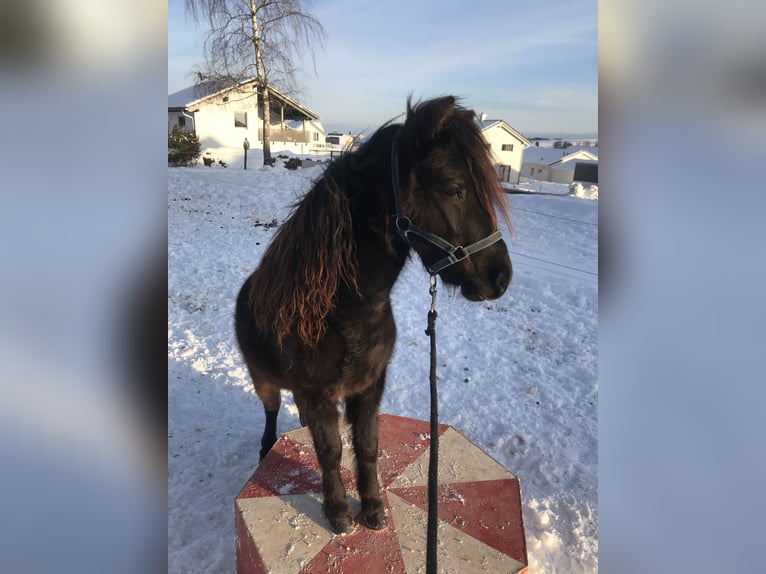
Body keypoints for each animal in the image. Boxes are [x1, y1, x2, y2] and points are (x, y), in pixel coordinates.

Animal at [234, 98, 510, 536]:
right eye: (454, 188)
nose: (501, 277)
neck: (343, 313)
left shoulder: (370, 386)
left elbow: (366, 446)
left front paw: (374, 507)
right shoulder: (316, 392)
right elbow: (330, 450)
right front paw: (339, 513)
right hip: (263, 379)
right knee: (271, 410)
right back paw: (265, 448)